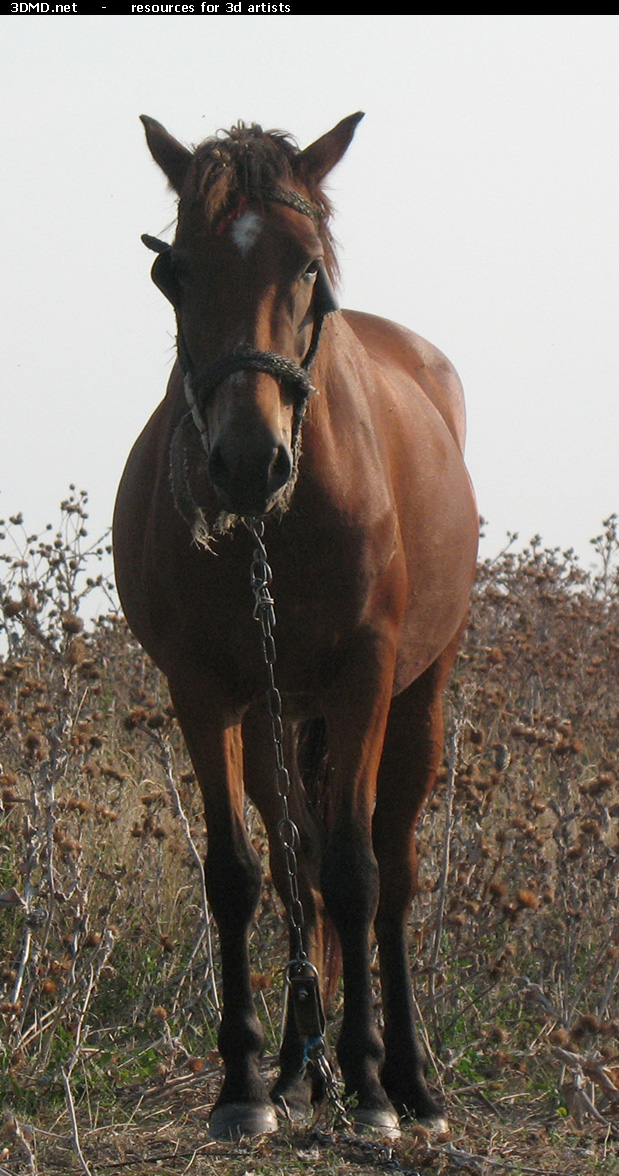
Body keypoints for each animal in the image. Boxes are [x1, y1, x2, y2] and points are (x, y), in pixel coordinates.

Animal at [112, 112, 480, 1138]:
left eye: (308, 265)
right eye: (173, 272)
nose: (247, 462)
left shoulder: (363, 680)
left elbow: (356, 873)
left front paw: (370, 1083)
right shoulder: (206, 692)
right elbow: (242, 876)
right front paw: (243, 1083)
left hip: (416, 699)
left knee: (388, 871)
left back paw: (406, 1077)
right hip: (280, 717)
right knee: (292, 865)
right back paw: (292, 1068)